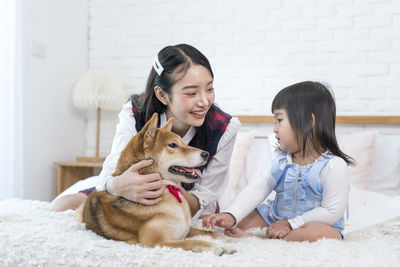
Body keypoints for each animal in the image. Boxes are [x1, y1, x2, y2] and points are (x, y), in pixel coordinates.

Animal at [76, 113, 234, 255]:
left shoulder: (186, 230)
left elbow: (207, 233)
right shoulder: (155, 242)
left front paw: (225, 239)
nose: (206, 154)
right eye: (173, 145)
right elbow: (193, 241)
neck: (168, 188)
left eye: (184, 143)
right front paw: (216, 247)